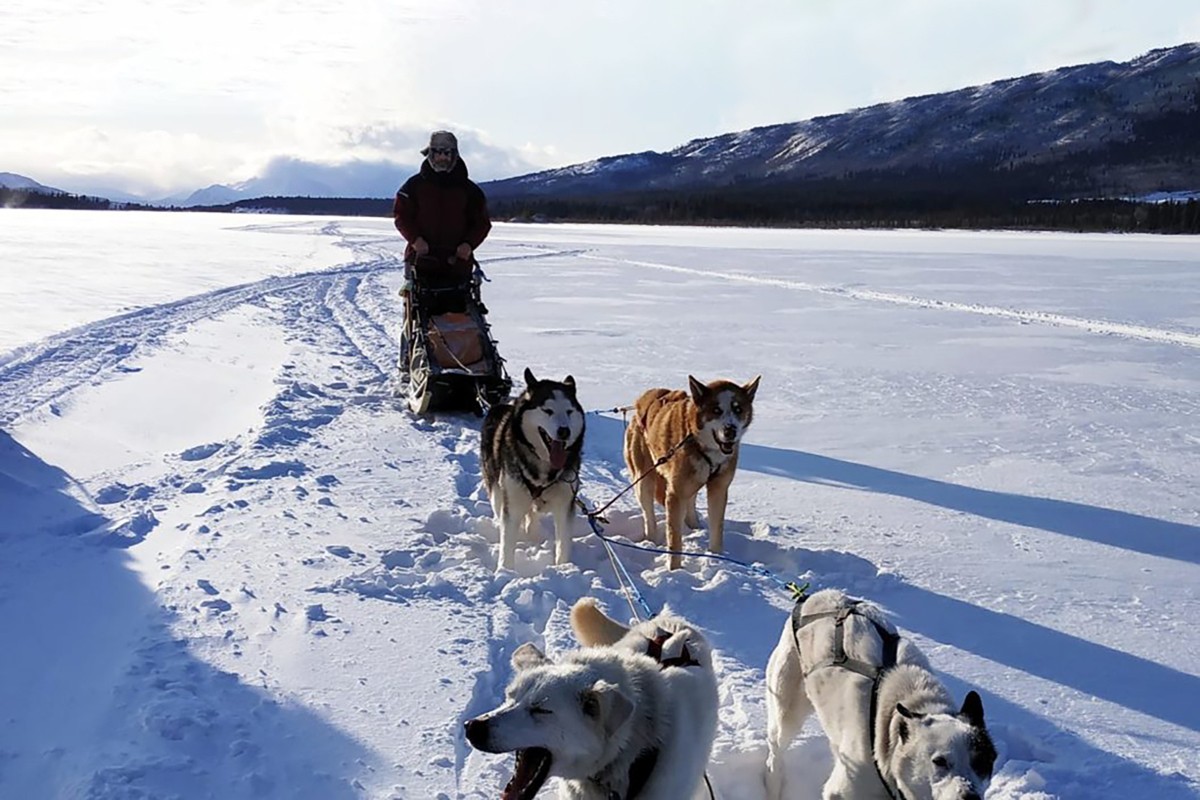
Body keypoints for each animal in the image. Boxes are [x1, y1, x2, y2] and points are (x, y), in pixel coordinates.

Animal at [628, 376, 758, 568]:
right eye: (716, 410)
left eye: (738, 409)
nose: (730, 430)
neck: (702, 446)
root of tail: (644, 398)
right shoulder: (675, 493)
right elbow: (674, 540)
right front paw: (674, 569)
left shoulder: (719, 489)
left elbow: (717, 528)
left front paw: (716, 558)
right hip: (644, 480)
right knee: (648, 515)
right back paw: (651, 540)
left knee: (690, 500)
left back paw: (693, 524)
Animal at [768, 587, 993, 800]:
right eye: (939, 761)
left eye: (982, 762)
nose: (971, 797)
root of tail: (812, 596)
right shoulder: (844, 788)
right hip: (787, 709)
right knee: (776, 749)